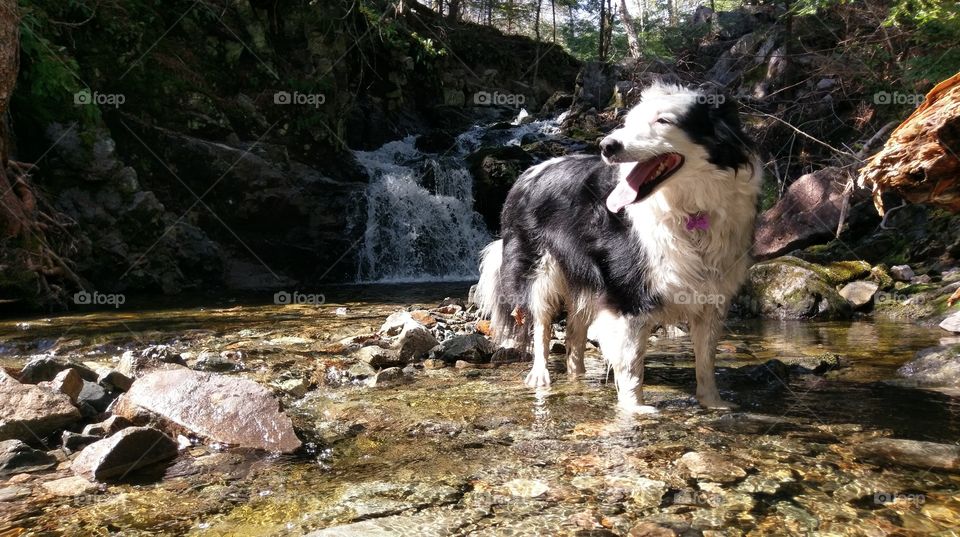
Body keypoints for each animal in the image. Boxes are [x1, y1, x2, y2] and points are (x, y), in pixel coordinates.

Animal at [476, 81, 760, 412]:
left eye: (663, 121)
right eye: (629, 122)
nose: (607, 146)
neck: (689, 210)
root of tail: (526, 175)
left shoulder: (712, 296)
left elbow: (706, 358)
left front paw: (713, 403)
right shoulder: (626, 296)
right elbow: (631, 361)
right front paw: (634, 409)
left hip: (584, 280)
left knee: (574, 334)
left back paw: (578, 378)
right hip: (540, 271)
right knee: (541, 326)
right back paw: (540, 376)